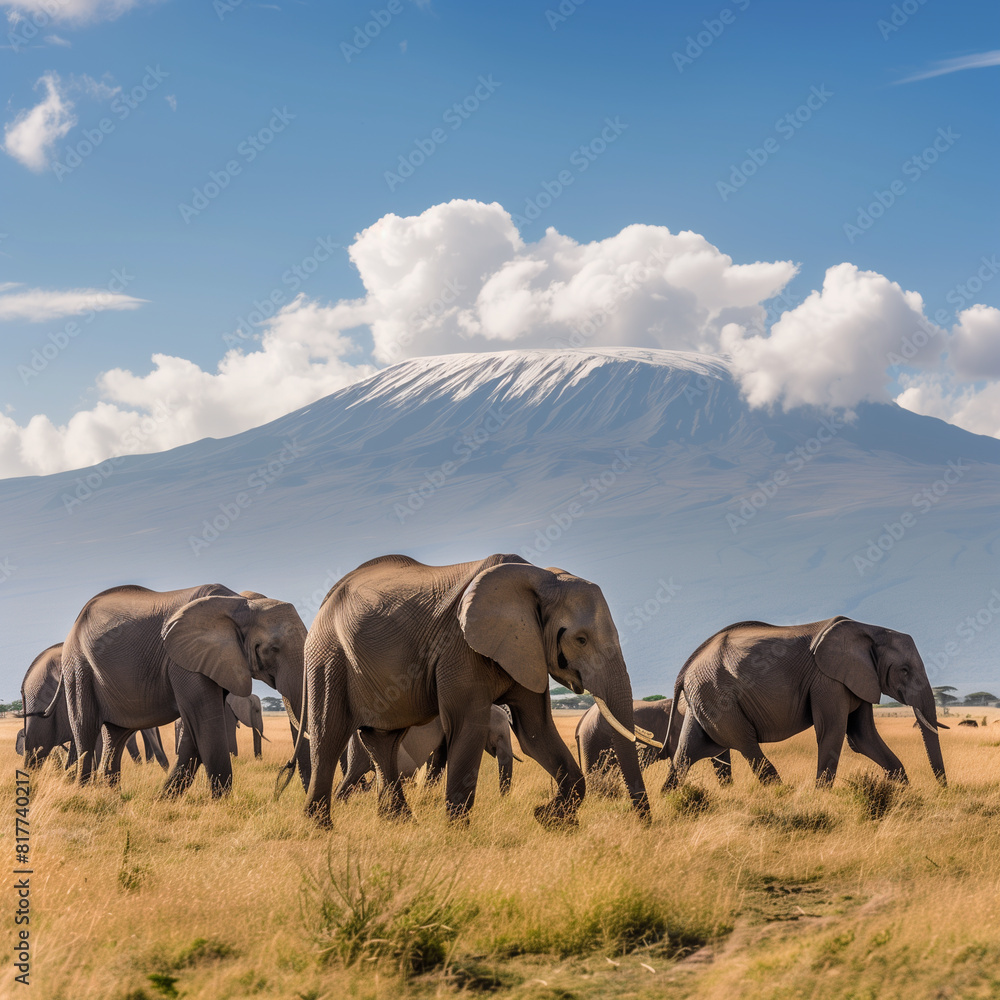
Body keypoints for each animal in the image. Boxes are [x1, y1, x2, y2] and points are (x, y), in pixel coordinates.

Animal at [60, 584, 306, 797]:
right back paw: (84, 793)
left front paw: (163, 800)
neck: (239, 603)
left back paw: (112, 796)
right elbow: (205, 725)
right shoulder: (183, 662)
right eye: (272, 648)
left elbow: (194, 732)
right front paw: (220, 804)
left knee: (116, 735)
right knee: (85, 729)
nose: (284, 777)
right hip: (78, 667)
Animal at [662, 616, 948, 790]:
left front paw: (904, 794)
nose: (943, 790)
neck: (869, 629)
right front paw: (821, 796)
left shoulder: (859, 678)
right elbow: (832, 733)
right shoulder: (827, 681)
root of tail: (685, 670)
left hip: (706, 698)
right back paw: (781, 795)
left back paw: (669, 801)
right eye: (904, 671)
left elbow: (863, 737)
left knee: (686, 753)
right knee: (747, 745)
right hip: (718, 695)